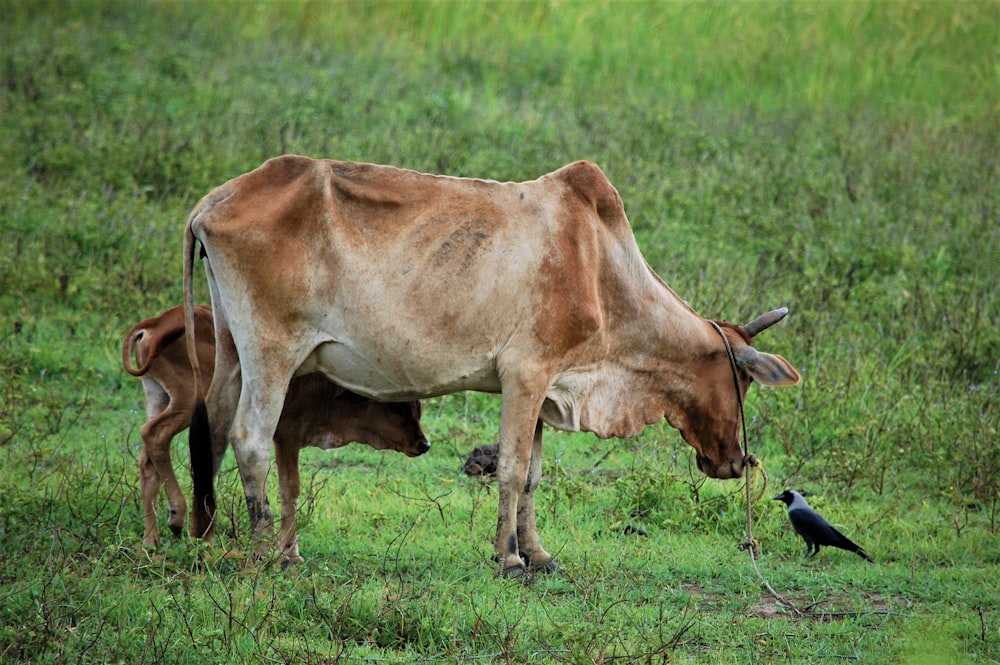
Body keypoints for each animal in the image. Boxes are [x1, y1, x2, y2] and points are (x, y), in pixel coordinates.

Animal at [122, 306, 430, 560]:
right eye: (397, 409)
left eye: (418, 409)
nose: (423, 444)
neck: (325, 390)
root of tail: (157, 323)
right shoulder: (286, 438)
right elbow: (289, 489)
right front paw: (290, 553)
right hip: (190, 401)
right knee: (154, 435)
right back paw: (176, 515)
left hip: (157, 396)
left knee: (148, 462)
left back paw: (151, 541)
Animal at [182, 157, 804, 576]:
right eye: (741, 380)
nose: (736, 460)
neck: (602, 269)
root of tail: (215, 201)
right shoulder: (525, 374)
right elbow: (510, 467)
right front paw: (508, 559)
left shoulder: (547, 385)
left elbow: (533, 473)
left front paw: (539, 553)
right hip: (272, 351)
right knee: (250, 438)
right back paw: (270, 552)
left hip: (231, 347)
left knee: (211, 424)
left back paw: (205, 536)